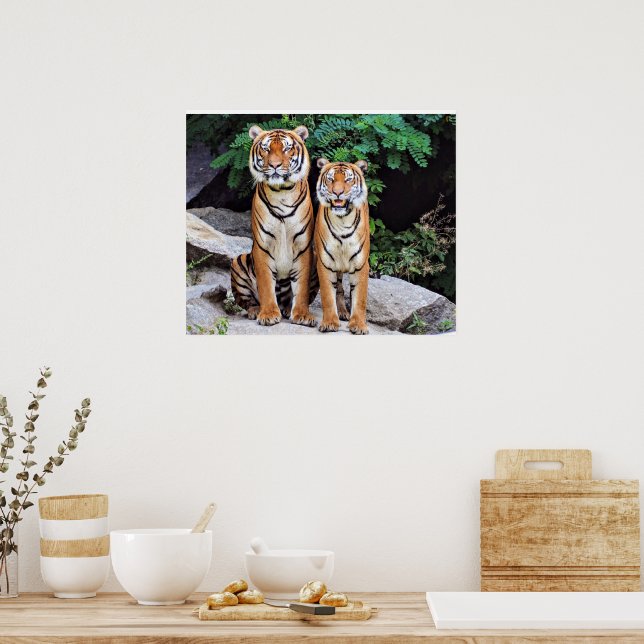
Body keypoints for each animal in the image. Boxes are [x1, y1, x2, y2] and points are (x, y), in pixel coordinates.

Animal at [230, 125, 318, 327]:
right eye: (266, 148)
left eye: (287, 148)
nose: (275, 165)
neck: (282, 192)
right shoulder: (263, 246)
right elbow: (265, 285)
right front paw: (269, 314)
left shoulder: (303, 247)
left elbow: (301, 288)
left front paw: (302, 315)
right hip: (238, 261)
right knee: (246, 301)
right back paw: (256, 310)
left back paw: (287, 309)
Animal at [314, 158, 370, 335]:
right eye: (331, 179)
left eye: (348, 179)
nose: (337, 192)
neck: (342, 221)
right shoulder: (325, 263)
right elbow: (327, 295)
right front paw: (330, 323)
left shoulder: (361, 265)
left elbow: (360, 298)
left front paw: (358, 325)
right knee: (339, 289)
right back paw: (342, 312)